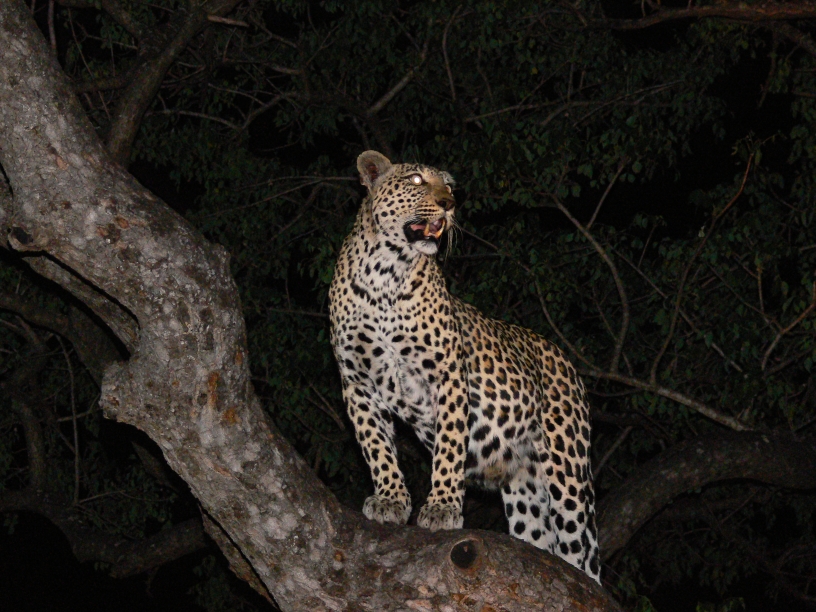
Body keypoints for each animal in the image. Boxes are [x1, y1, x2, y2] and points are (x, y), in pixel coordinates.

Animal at [328, 150, 600, 581]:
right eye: (417, 180)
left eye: (450, 186)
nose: (449, 204)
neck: (385, 273)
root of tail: (564, 360)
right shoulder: (356, 382)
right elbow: (375, 445)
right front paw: (390, 499)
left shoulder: (448, 374)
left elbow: (449, 446)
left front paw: (442, 507)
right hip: (524, 487)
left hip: (568, 471)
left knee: (581, 553)